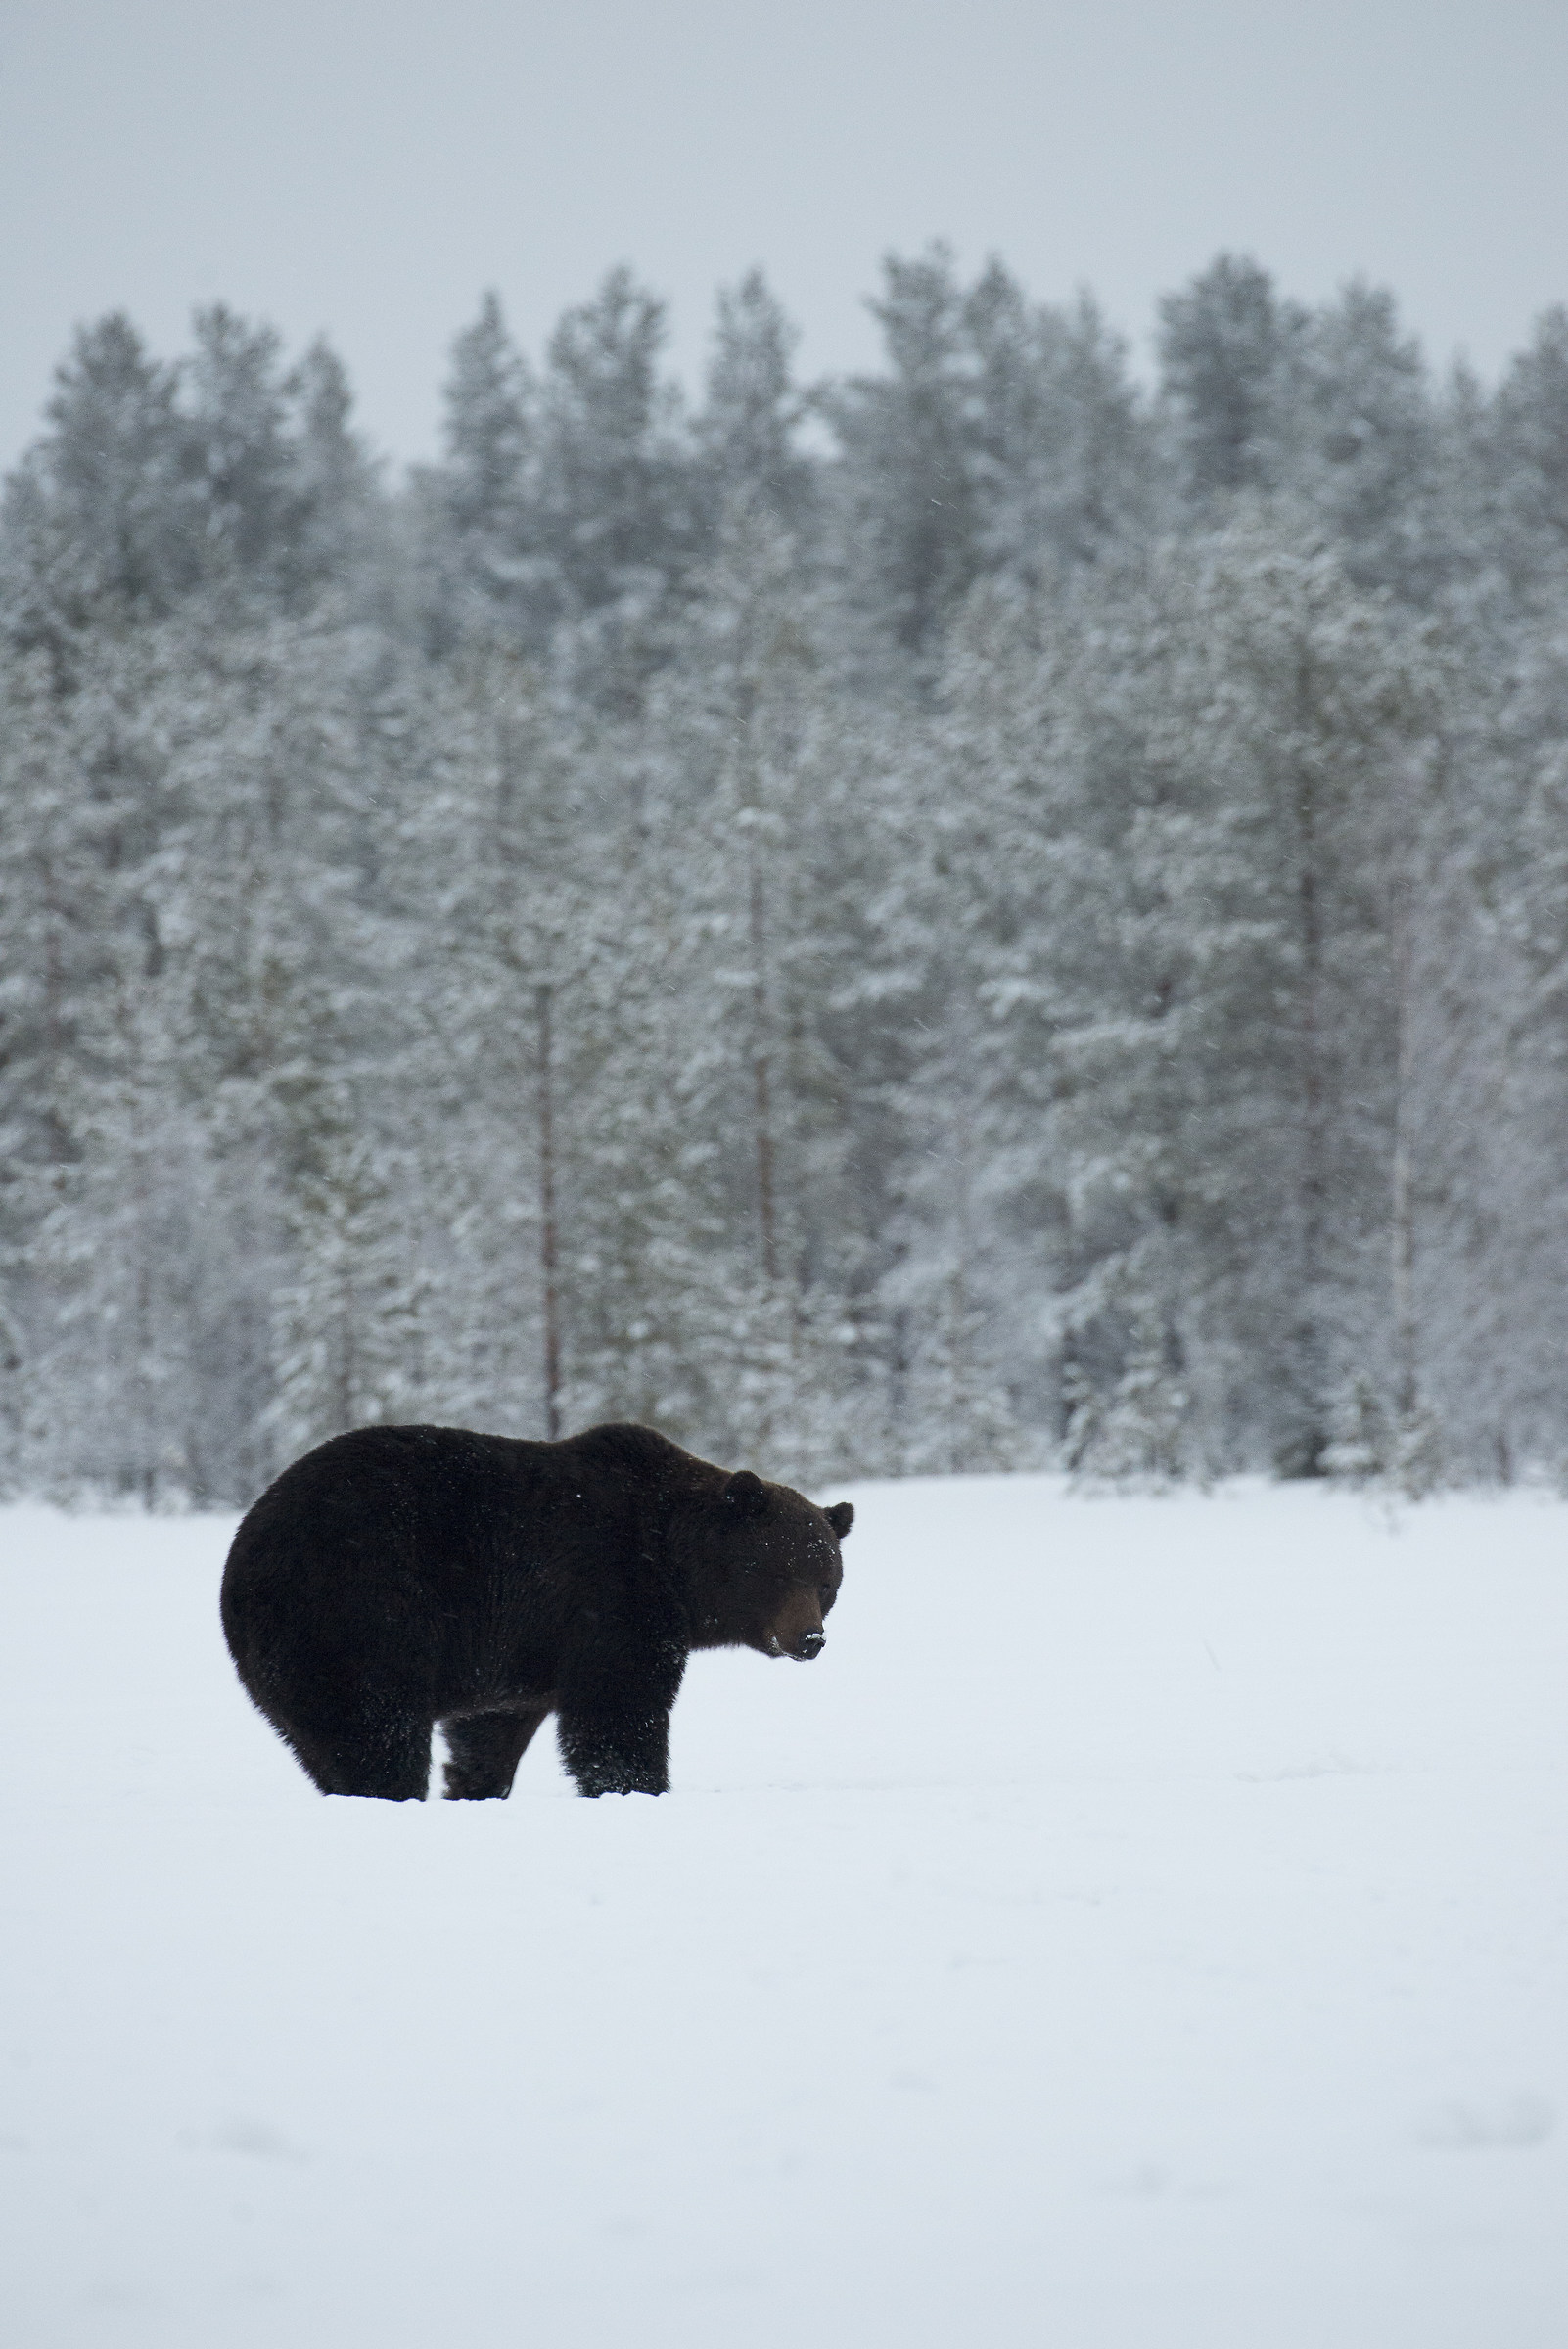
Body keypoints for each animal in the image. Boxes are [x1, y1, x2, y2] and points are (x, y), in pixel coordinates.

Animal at [220, 1420, 853, 1802]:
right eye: (776, 1570)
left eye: (827, 1580)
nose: (810, 1638)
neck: (676, 1569)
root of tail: (243, 1550)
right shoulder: (613, 1598)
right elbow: (619, 1708)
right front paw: (636, 1785)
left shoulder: (517, 1649)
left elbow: (491, 1726)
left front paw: (475, 1784)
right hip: (358, 1611)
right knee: (375, 1727)